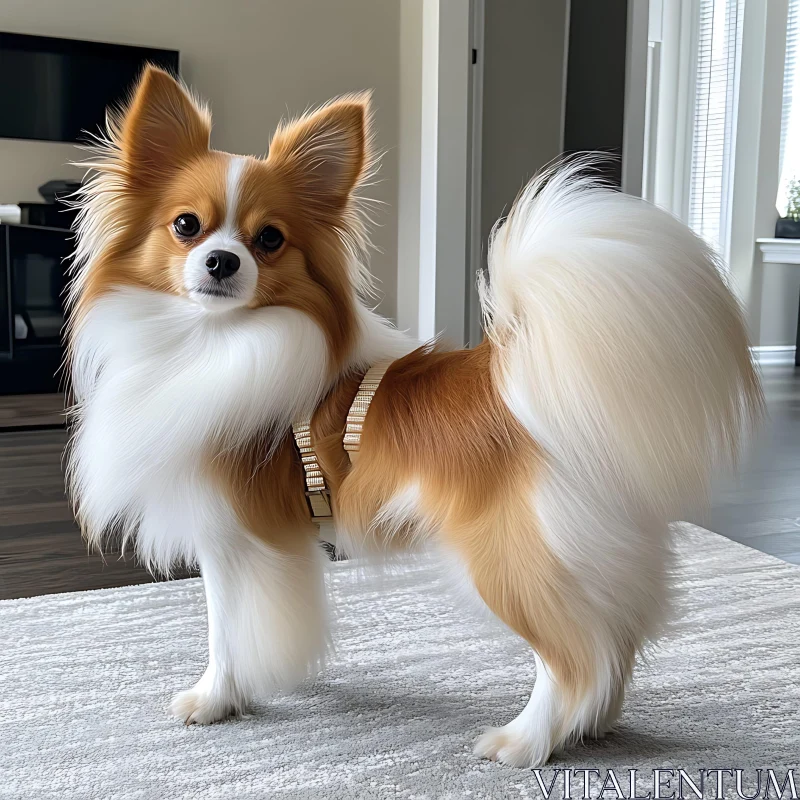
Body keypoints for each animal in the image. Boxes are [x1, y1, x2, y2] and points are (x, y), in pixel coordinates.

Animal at [67, 65, 764, 764]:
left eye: (269, 240)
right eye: (186, 225)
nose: (221, 261)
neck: (211, 340)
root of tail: (523, 384)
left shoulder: (238, 537)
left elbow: (227, 631)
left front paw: (215, 699)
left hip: (509, 559)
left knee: (576, 658)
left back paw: (524, 741)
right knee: (615, 642)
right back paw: (591, 728)